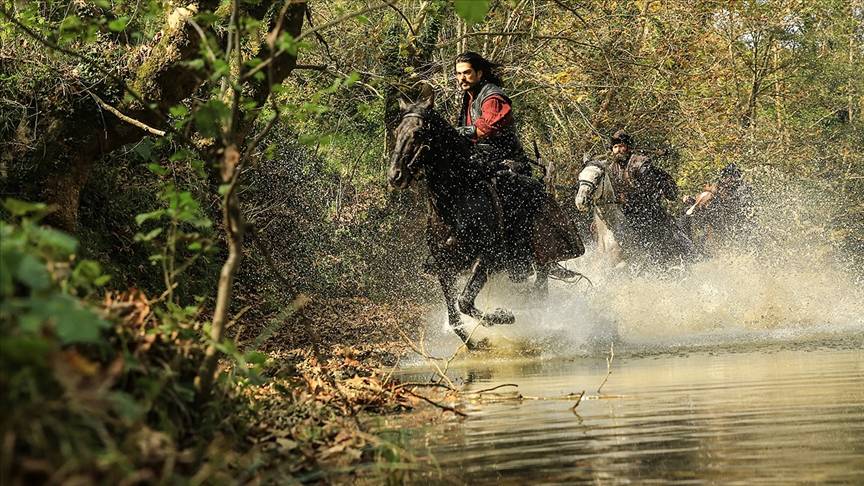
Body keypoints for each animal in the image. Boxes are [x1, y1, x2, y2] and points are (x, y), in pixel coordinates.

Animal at [388, 93, 584, 348]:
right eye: (396, 131)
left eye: (419, 132)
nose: (395, 176)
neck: (455, 205)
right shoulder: (445, 267)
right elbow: (454, 317)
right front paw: (475, 343)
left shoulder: (487, 258)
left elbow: (464, 302)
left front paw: (503, 316)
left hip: (541, 260)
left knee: (540, 293)